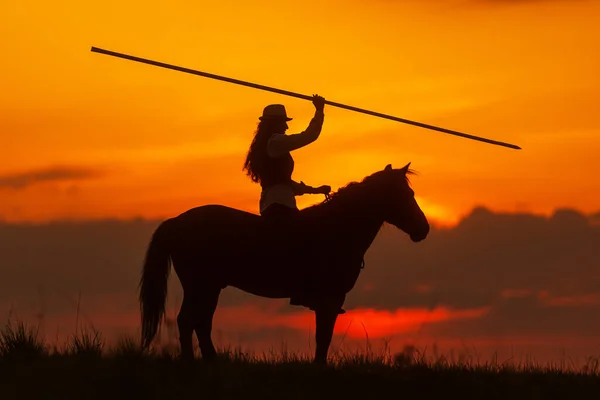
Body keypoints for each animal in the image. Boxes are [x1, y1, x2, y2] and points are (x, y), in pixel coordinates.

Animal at [137, 161, 426, 364]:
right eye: (404, 194)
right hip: (201, 286)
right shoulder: (330, 299)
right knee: (188, 321)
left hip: (209, 288)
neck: (337, 228)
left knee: (200, 322)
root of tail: (176, 221)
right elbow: (323, 337)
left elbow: (323, 337)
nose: (423, 229)